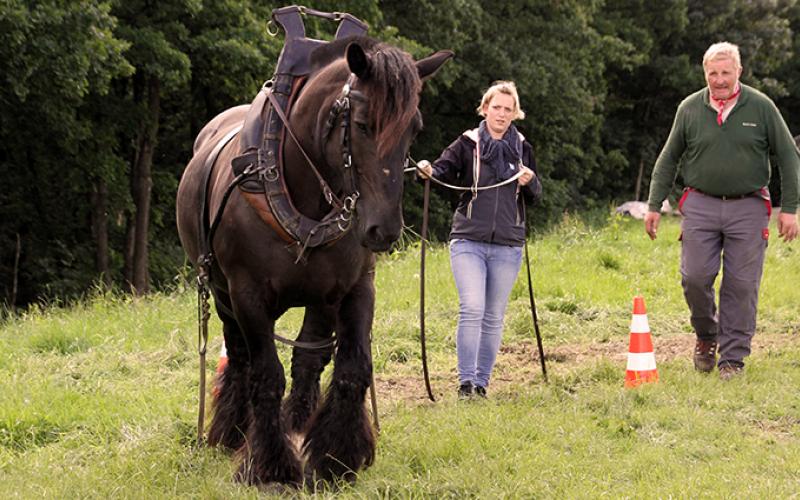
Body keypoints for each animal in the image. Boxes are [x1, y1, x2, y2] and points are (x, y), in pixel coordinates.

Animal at [177, 36, 450, 488]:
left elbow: (351, 368)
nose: (384, 230)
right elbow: (266, 375)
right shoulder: (246, 295)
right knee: (240, 357)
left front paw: (336, 456)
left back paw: (298, 424)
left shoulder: (354, 287)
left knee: (308, 360)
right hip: (221, 294)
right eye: (362, 124)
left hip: (320, 300)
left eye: (415, 127)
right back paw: (233, 432)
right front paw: (270, 465)